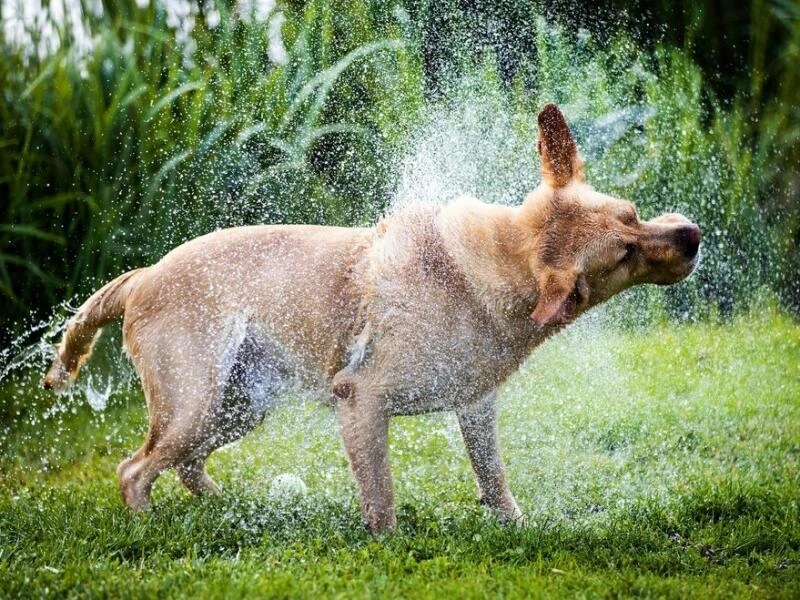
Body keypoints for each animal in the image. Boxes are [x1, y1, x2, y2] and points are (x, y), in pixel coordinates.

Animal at [43, 105, 700, 532]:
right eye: (626, 252)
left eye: (632, 212)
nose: (692, 235)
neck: (488, 271)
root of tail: (144, 274)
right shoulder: (361, 399)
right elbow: (381, 498)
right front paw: (387, 547)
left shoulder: (475, 406)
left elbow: (494, 480)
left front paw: (516, 526)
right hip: (194, 401)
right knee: (135, 470)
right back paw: (150, 527)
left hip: (240, 404)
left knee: (185, 465)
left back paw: (231, 506)